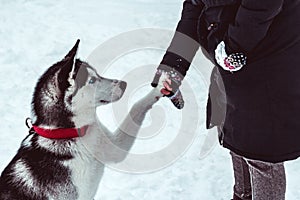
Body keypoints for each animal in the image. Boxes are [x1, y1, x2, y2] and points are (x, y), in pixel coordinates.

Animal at [0, 39, 164, 199]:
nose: (124, 84)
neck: (71, 133)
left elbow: (137, 106)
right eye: (92, 80)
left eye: (97, 74)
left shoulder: (112, 148)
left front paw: (160, 87)